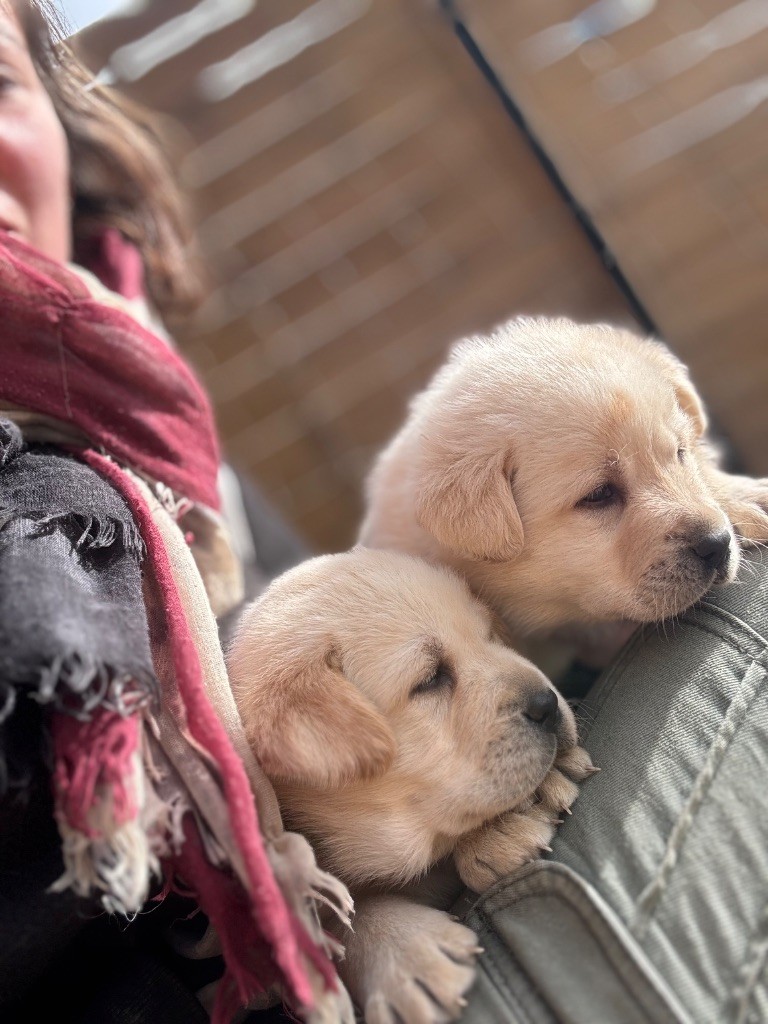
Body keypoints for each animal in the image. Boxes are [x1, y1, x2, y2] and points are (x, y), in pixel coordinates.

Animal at [225, 552, 593, 1024]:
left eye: (490, 636)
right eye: (430, 679)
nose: (547, 703)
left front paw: (506, 822)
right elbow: (338, 919)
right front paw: (404, 953)